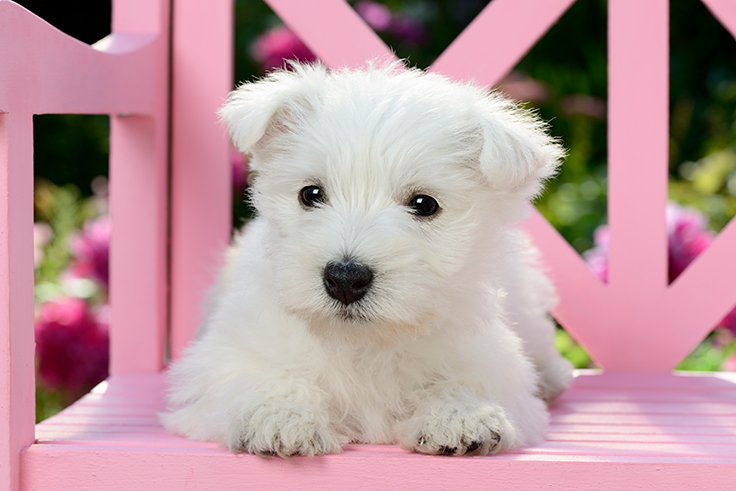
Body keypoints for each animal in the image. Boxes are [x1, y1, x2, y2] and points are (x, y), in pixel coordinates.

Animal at [164, 60, 572, 458]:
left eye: (424, 204)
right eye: (310, 194)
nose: (345, 278)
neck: (364, 343)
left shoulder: (494, 364)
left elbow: (468, 381)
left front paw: (462, 416)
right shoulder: (224, 358)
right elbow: (260, 377)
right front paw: (280, 418)